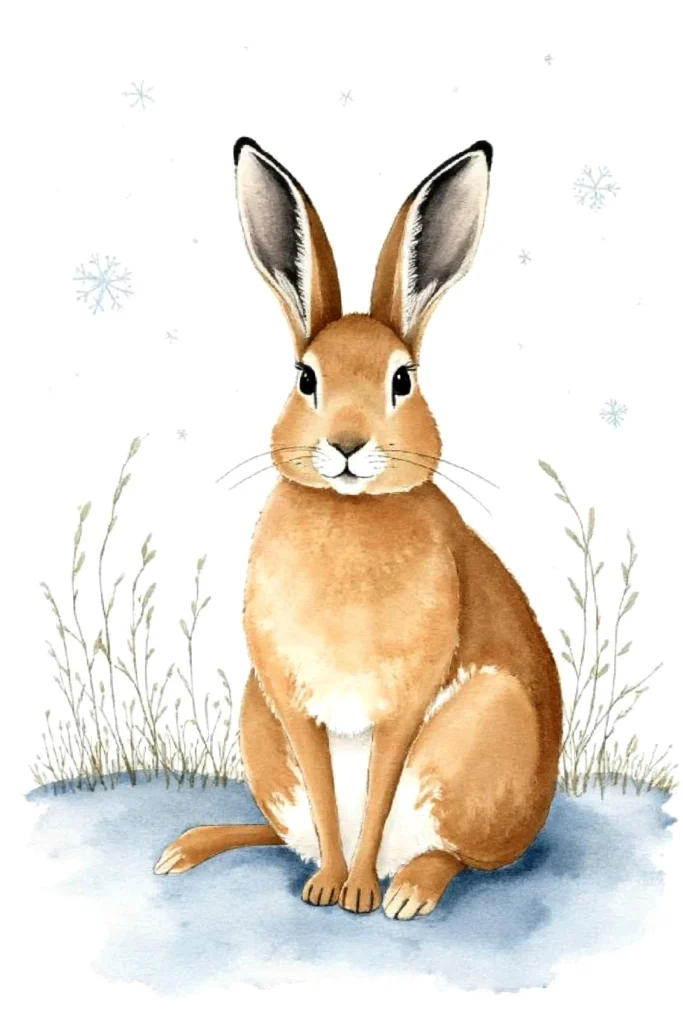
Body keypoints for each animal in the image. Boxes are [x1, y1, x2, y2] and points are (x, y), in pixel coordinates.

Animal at [154, 137, 562, 920]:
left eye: (403, 380)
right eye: (304, 378)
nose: (345, 444)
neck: (349, 513)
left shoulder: (401, 710)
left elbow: (373, 800)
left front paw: (360, 894)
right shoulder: (292, 706)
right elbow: (325, 798)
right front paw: (327, 888)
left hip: (479, 739)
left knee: (456, 856)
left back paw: (409, 890)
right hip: (260, 731)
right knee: (289, 829)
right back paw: (190, 846)